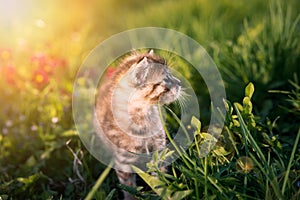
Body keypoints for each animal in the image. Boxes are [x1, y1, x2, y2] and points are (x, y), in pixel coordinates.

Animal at [94, 50, 180, 200]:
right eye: (166, 79)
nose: (180, 83)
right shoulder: (123, 161)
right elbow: (128, 188)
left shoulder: (158, 149)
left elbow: (159, 175)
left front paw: (162, 191)